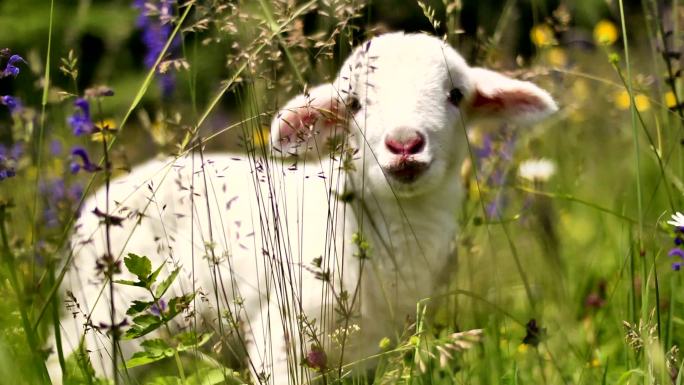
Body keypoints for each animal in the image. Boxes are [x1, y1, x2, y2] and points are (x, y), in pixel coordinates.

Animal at [50, 31, 560, 382]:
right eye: (352, 104)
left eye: (456, 95)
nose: (404, 144)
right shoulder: (285, 333)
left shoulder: (378, 345)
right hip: (107, 317)